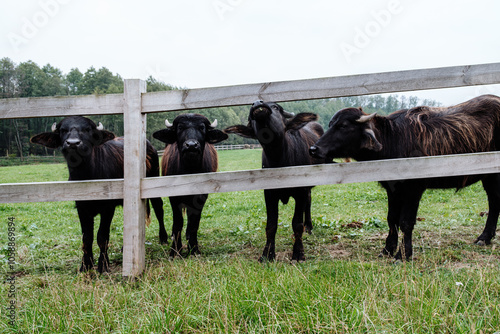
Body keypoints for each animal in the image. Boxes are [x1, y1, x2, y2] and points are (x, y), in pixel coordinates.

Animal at [31, 116, 168, 272]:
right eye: (63, 130)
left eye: (87, 130)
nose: (73, 143)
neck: (87, 175)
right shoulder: (82, 208)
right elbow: (87, 237)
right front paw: (86, 264)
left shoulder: (107, 208)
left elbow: (102, 236)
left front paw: (103, 264)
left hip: (153, 178)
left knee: (158, 207)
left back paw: (163, 237)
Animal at [151, 113, 228, 258]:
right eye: (180, 127)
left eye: (202, 127)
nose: (191, 145)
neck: (189, 170)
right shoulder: (174, 197)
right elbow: (177, 222)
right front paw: (175, 250)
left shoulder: (201, 196)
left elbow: (194, 222)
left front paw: (194, 249)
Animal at [225, 100, 326, 262]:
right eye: (250, 118)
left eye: (276, 107)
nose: (258, 104)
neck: (280, 158)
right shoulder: (269, 193)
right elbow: (271, 225)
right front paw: (267, 255)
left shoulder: (301, 190)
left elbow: (297, 224)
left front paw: (298, 253)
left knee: (308, 202)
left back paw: (309, 227)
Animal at [308, 95, 500, 260]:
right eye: (331, 124)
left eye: (343, 126)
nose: (314, 149)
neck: (394, 139)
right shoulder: (393, 189)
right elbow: (391, 219)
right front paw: (387, 249)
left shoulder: (414, 189)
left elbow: (406, 222)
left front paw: (403, 255)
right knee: (494, 202)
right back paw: (485, 238)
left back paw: (484, 237)